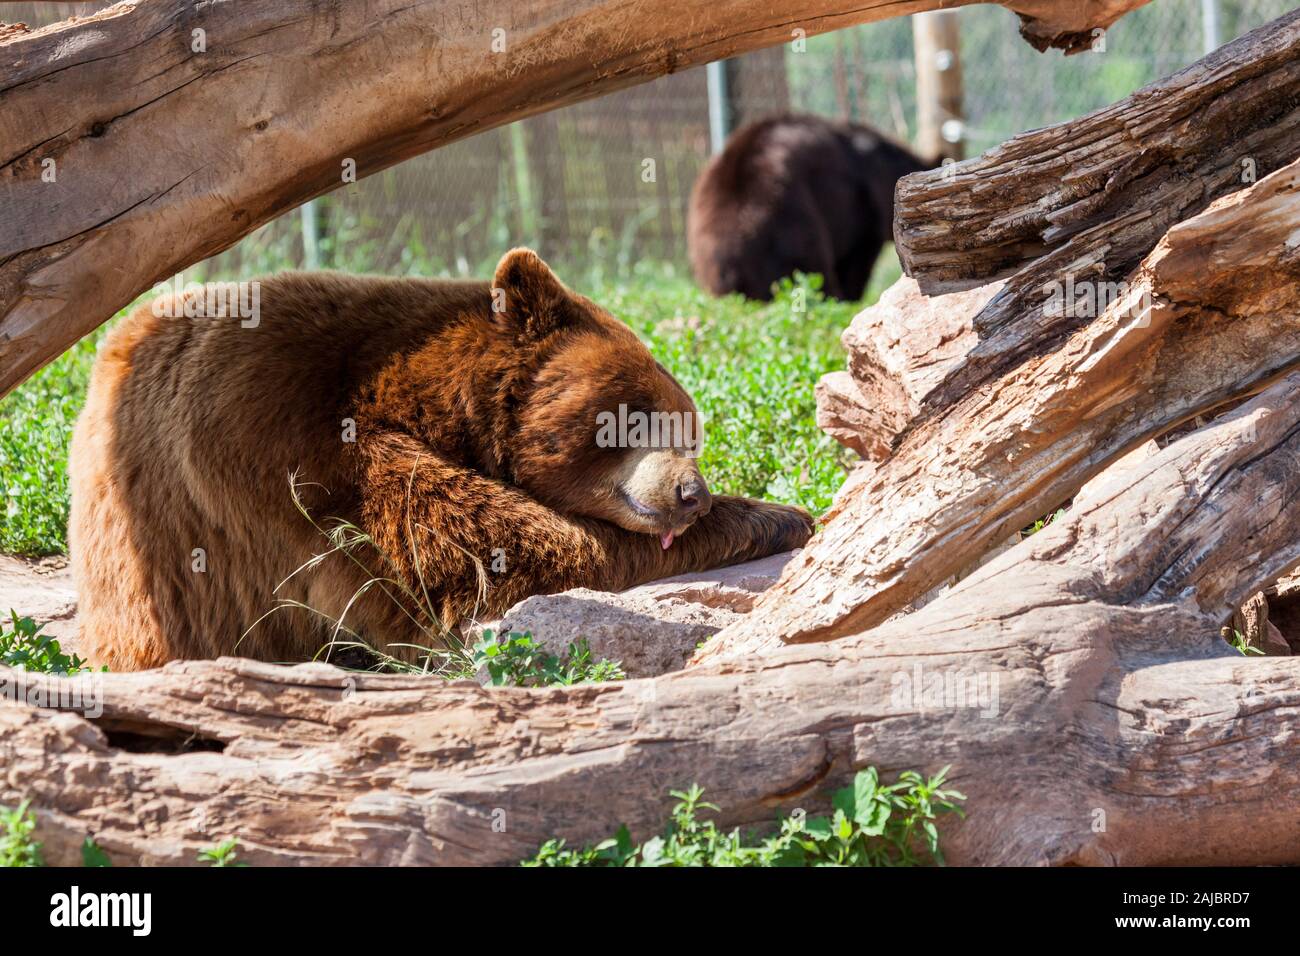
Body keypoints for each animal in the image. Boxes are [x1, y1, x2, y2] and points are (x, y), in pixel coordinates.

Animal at [68, 249, 813, 671]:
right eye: (635, 415)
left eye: (692, 428)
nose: (691, 494)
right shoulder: (300, 446)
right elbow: (489, 557)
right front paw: (779, 515)